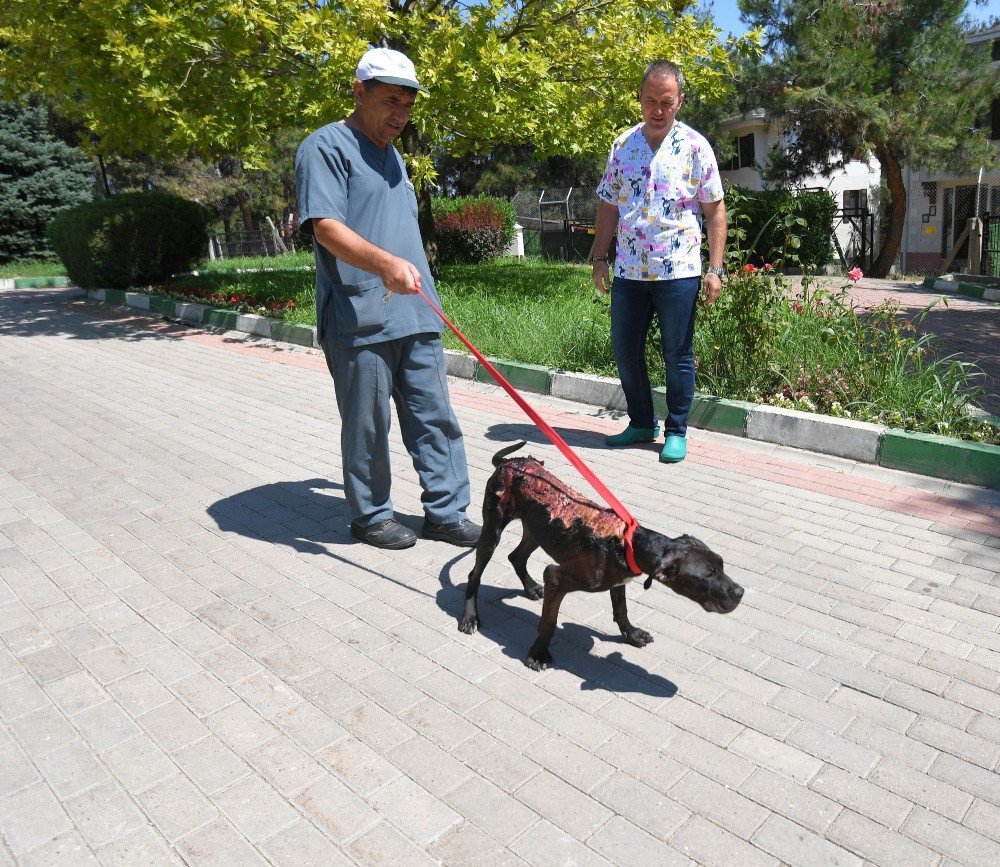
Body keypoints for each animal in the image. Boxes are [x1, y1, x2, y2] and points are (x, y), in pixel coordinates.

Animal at [460, 440, 744, 672]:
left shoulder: (618, 582)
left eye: (721, 565)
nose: (740, 592)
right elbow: (549, 623)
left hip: (536, 529)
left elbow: (621, 610)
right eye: (707, 575)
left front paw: (632, 635)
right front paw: (538, 654)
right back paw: (469, 618)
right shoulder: (556, 577)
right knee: (475, 573)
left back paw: (530, 588)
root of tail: (511, 462)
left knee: (516, 557)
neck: (630, 544)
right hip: (493, 529)